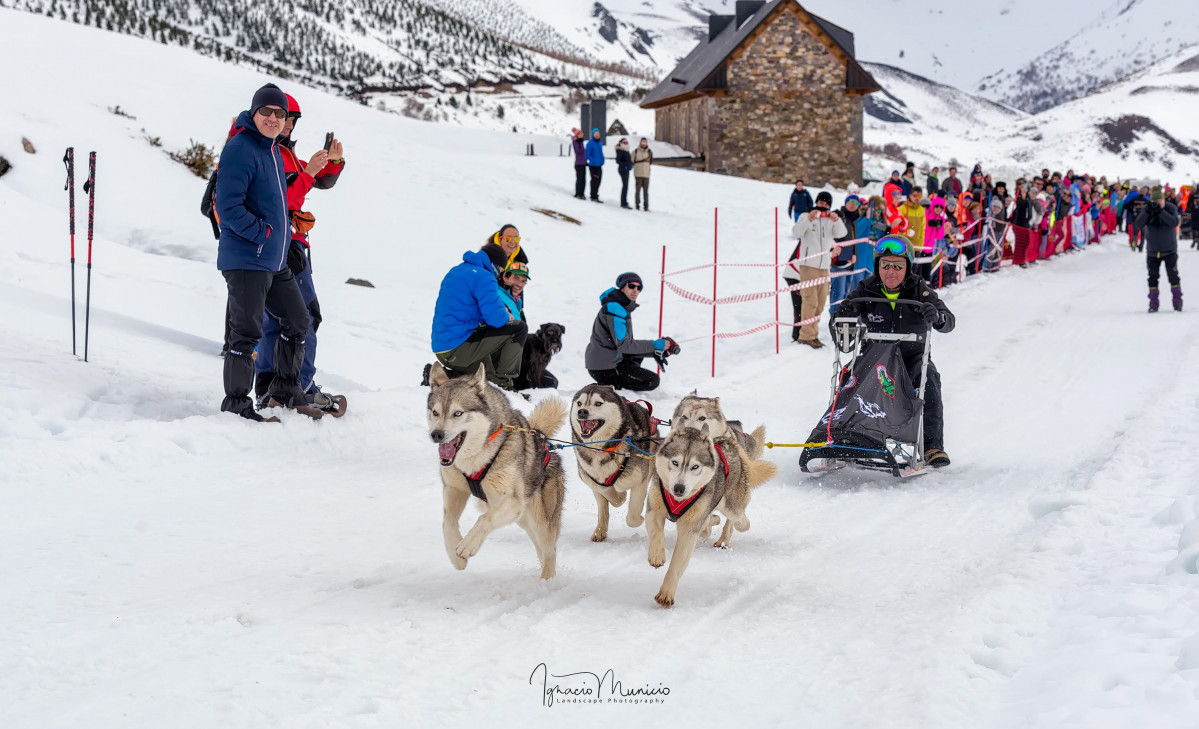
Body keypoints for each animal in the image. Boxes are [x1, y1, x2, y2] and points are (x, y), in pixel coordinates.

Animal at [426, 362, 565, 577]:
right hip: (524, 520)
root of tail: (542, 440)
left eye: (458, 413)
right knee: (541, 550)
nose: (436, 434)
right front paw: (456, 557)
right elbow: (447, 521)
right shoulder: (454, 489)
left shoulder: (513, 502)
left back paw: (546, 581)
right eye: (435, 412)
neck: (475, 458)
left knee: (550, 551)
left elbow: (484, 518)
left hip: (541, 521)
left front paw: (467, 545)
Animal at [568, 383, 661, 537]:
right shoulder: (593, 480)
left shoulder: (639, 480)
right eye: (579, 403)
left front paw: (638, 518)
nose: (582, 412)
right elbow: (606, 494)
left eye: (598, 403)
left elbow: (633, 516)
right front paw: (620, 497)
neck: (602, 450)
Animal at [647, 424, 776, 606]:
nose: (679, 488)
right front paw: (657, 555)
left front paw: (666, 593)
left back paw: (731, 532)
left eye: (695, 467)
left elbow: (677, 564)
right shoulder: (654, 509)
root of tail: (728, 442)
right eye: (675, 462)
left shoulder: (689, 531)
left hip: (731, 506)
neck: (678, 500)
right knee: (710, 521)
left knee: (738, 518)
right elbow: (656, 533)